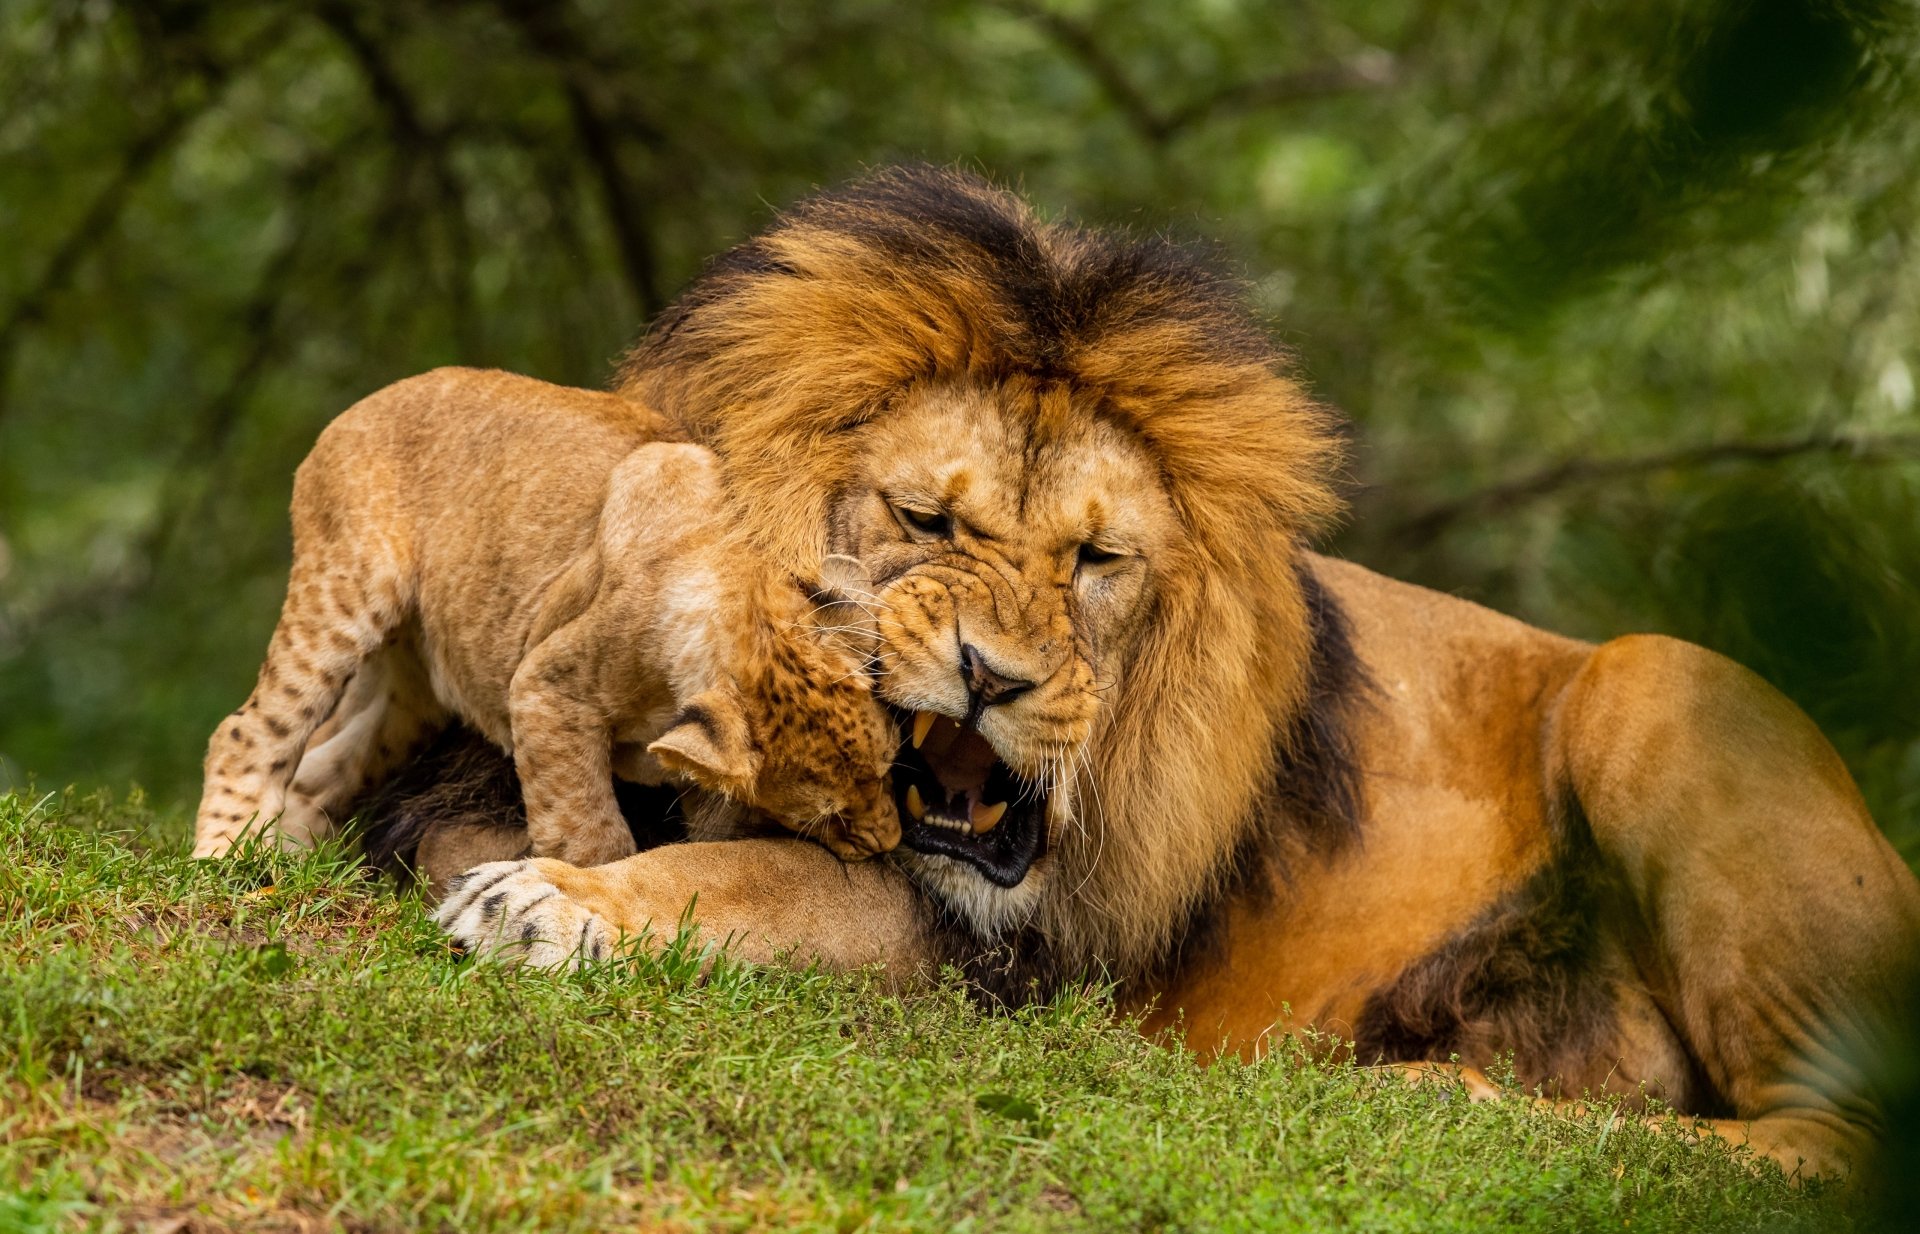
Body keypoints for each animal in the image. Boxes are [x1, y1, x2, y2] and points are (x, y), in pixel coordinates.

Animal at [192, 368, 901, 870]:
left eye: (891, 768)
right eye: (824, 819)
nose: (889, 844)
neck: (744, 605)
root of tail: (368, 399)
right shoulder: (546, 688)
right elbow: (587, 828)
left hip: (416, 693)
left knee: (320, 770)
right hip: (347, 589)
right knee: (246, 730)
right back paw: (225, 858)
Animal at [418, 169, 1919, 1179]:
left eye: (1097, 559)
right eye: (926, 521)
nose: (994, 678)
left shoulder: (991, 962)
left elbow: (743, 882)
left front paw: (554, 903)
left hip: (1658, 682)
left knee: (1829, 1139)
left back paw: (1440, 1097)